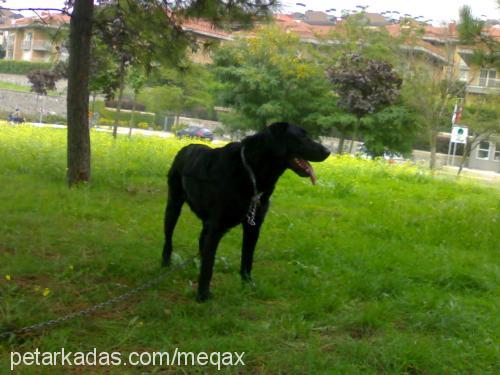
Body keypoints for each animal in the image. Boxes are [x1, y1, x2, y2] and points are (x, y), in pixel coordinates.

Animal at [162, 123, 330, 302]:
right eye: (302, 136)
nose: (328, 151)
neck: (252, 173)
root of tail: (186, 147)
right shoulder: (217, 226)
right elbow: (209, 264)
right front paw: (203, 295)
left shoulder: (253, 226)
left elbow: (247, 258)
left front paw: (247, 285)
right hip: (173, 206)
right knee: (169, 238)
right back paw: (165, 263)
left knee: (202, 241)